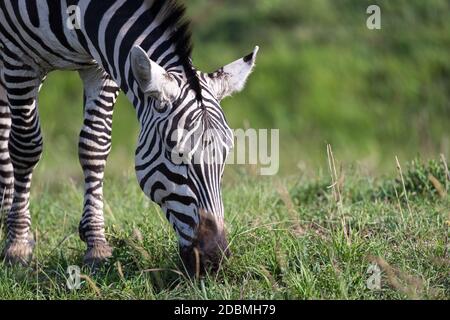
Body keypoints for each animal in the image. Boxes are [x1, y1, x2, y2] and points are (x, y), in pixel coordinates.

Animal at [0, 0, 258, 276]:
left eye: (226, 152)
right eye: (175, 152)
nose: (214, 260)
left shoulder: (101, 66)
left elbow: (94, 146)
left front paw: (96, 246)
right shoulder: (19, 57)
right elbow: (26, 146)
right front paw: (17, 245)